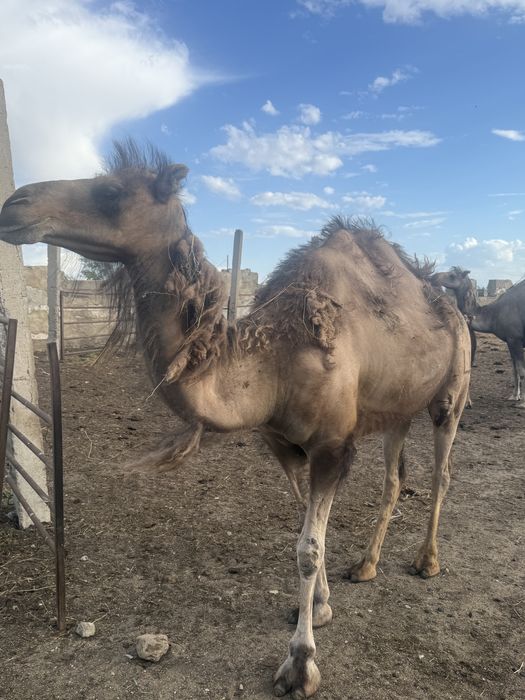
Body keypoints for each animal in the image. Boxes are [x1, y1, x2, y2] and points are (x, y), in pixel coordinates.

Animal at [0, 141, 471, 698]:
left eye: (112, 191)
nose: (14, 205)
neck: (274, 361)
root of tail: (447, 299)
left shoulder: (333, 447)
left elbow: (308, 547)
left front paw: (300, 664)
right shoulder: (283, 444)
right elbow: (307, 527)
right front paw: (321, 606)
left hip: (451, 393)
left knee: (442, 473)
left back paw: (427, 561)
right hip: (397, 409)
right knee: (395, 479)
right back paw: (367, 566)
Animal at [433, 267, 525, 401]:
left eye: (452, 275)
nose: (434, 277)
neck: (493, 314)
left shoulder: (515, 339)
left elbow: (521, 370)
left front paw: (521, 401)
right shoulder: (510, 340)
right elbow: (515, 369)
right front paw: (514, 396)